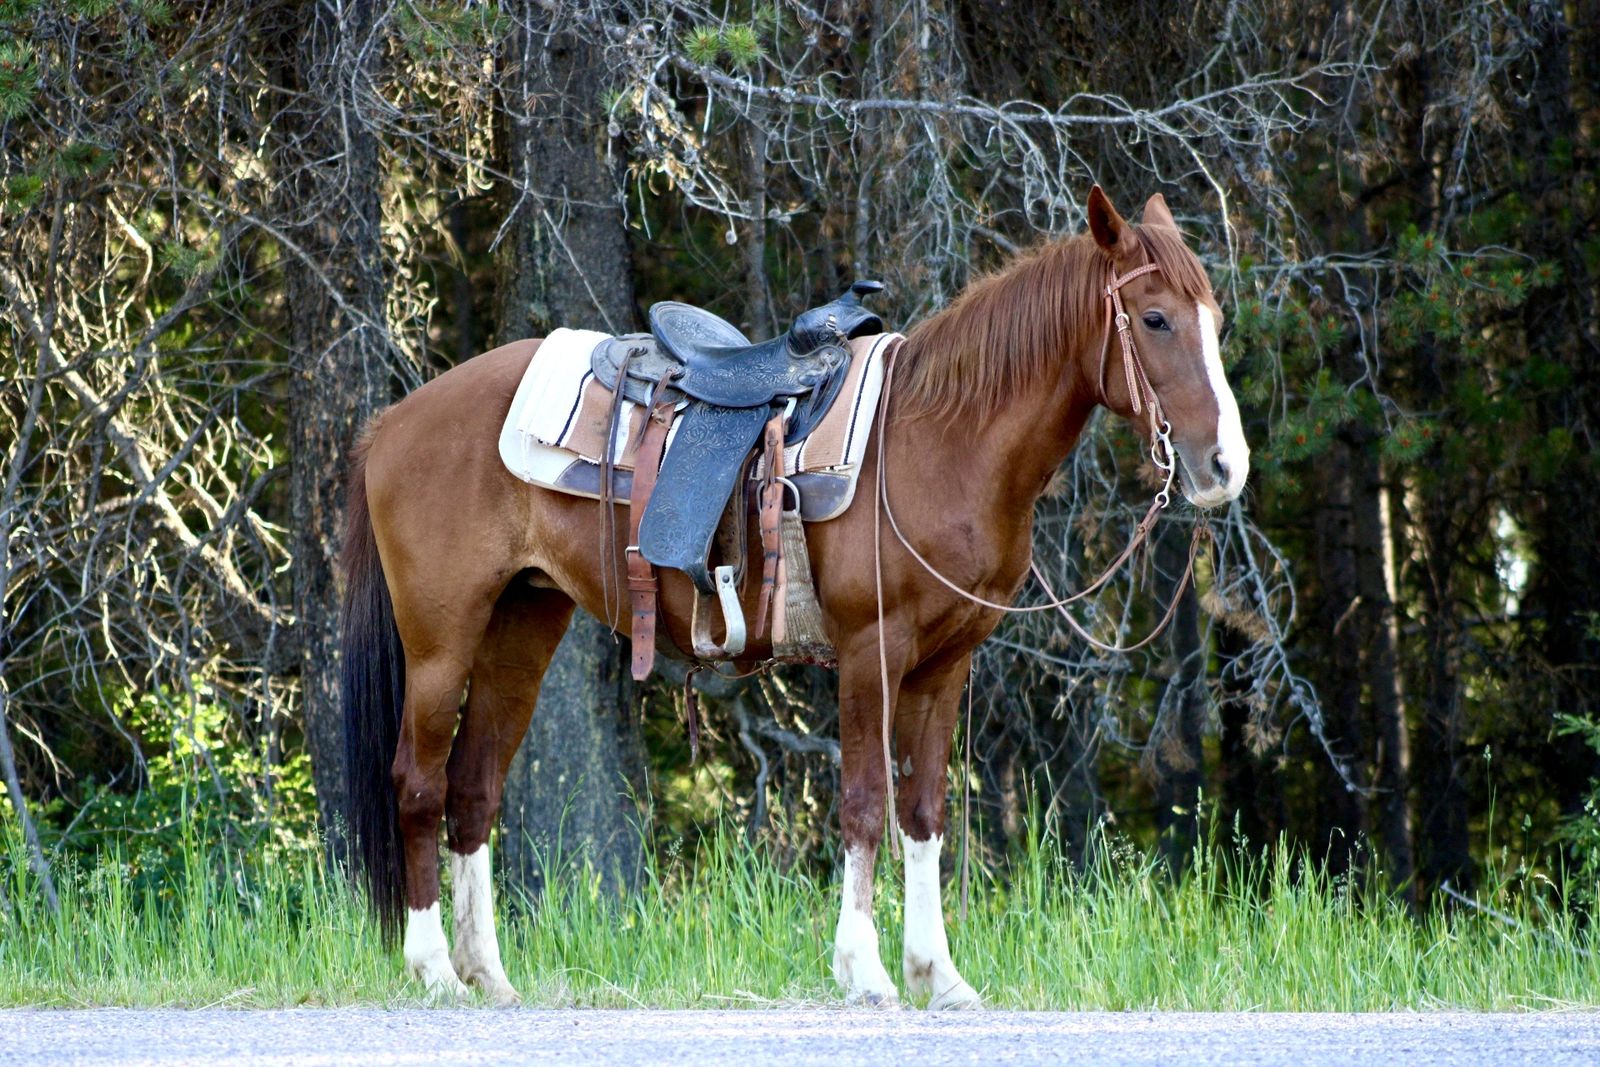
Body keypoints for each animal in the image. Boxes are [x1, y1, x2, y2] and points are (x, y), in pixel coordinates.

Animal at [339, 185, 1249, 1007]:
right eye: (1156, 319)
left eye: (1214, 321)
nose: (1225, 466)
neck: (939, 443)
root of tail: (393, 423)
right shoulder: (871, 651)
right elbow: (866, 804)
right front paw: (866, 972)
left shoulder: (946, 665)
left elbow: (924, 812)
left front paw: (940, 976)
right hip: (440, 638)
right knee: (418, 782)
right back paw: (433, 970)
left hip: (522, 625)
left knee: (473, 789)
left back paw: (488, 975)